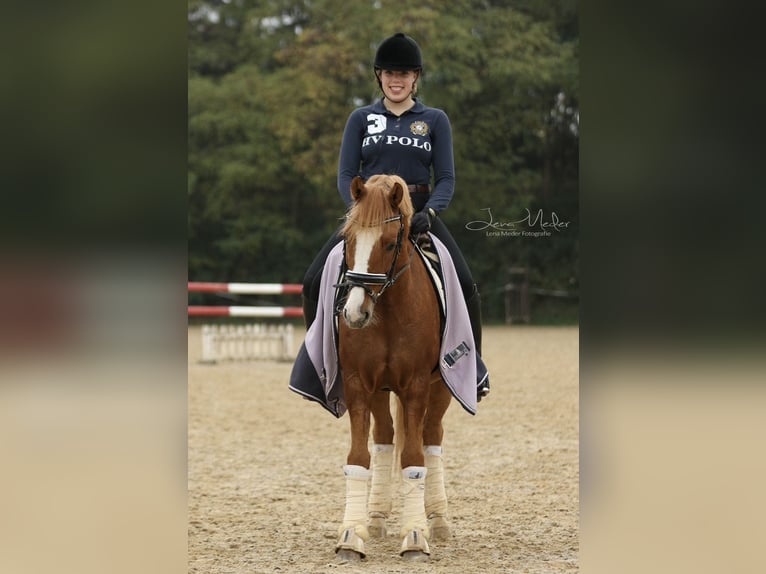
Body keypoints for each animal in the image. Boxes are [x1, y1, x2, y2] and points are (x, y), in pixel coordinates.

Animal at [334, 174, 452, 564]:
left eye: (388, 244)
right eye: (348, 240)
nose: (355, 313)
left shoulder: (416, 386)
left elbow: (414, 458)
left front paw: (415, 537)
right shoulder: (357, 384)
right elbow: (358, 457)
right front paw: (351, 535)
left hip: (440, 389)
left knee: (431, 439)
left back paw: (438, 520)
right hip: (378, 392)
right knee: (384, 437)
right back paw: (375, 516)